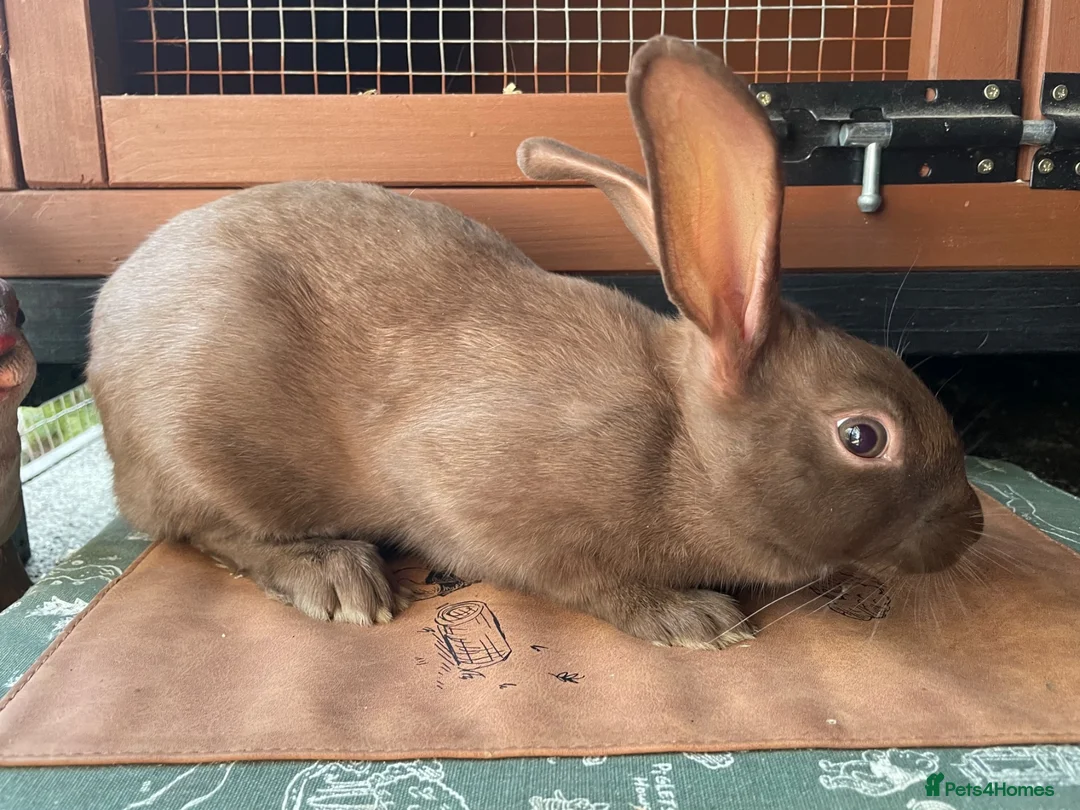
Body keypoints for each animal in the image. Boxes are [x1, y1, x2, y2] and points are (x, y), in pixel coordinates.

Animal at [87, 35, 982, 649]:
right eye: (863, 437)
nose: (971, 527)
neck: (682, 445)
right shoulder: (477, 496)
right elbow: (579, 580)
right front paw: (691, 618)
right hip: (201, 444)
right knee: (202, 528)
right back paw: (336, 578)